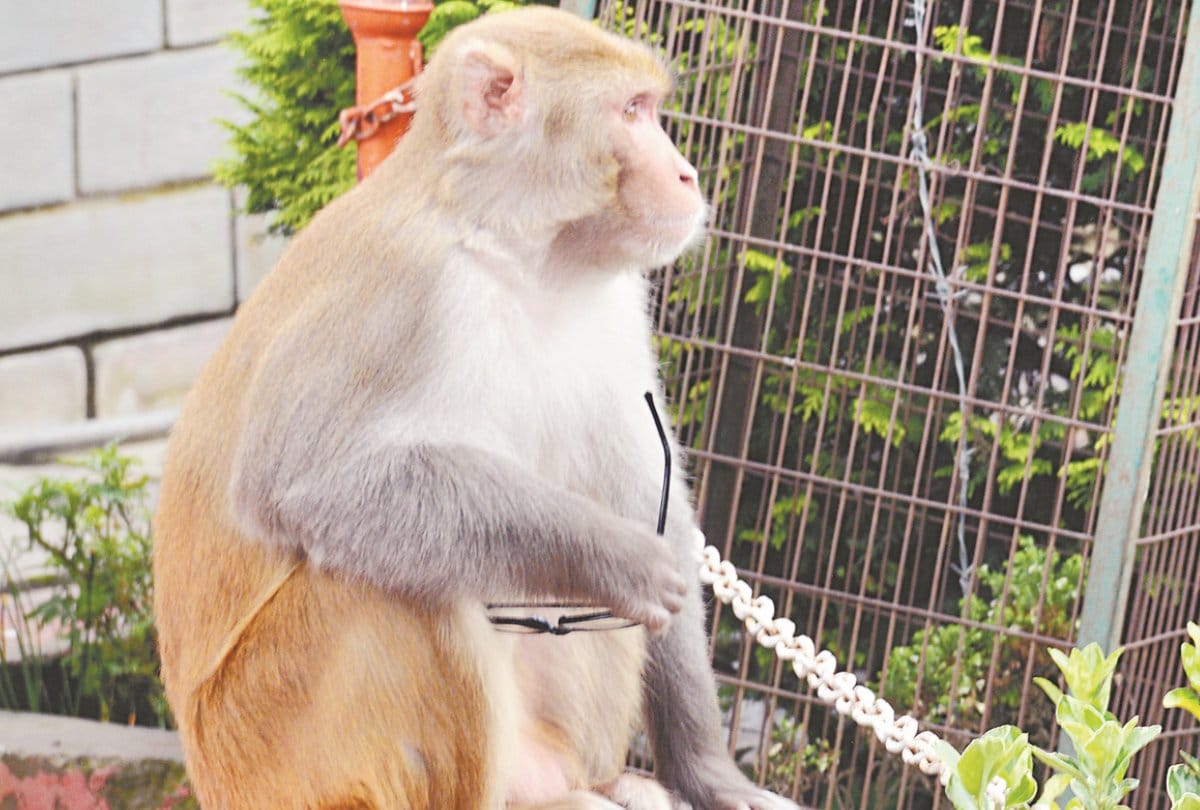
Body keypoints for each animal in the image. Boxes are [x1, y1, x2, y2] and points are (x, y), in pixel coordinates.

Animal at [153, 7, 800, 810]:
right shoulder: (403, 292)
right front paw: (610, 555)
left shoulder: (617, 297)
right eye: (630, 113)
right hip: (269, 747)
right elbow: (298, 485)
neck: (516, 248)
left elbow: (649, 494)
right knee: (393, 586)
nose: (686, 173)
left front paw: (708, 773)